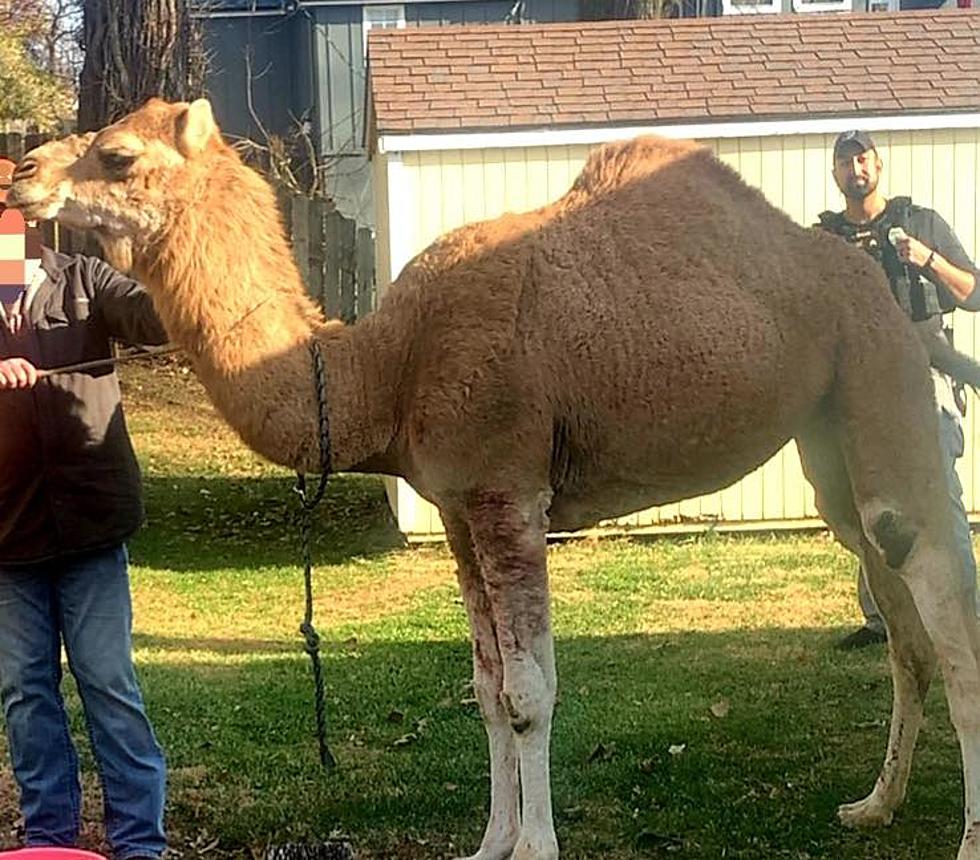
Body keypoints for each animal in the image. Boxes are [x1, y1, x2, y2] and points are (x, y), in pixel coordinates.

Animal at [11, 95, 980, 860]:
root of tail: (873, 277)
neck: (386, 366)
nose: (20, 172)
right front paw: (489, 843)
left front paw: (536, 848)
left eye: (118, 153)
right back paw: (875, 805)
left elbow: (527, 692)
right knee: (900, 622)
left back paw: (966, 839)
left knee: (943, 607)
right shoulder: (454, 506)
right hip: (828, 437)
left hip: (878, 372)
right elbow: (482, 690)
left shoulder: (510, 493)